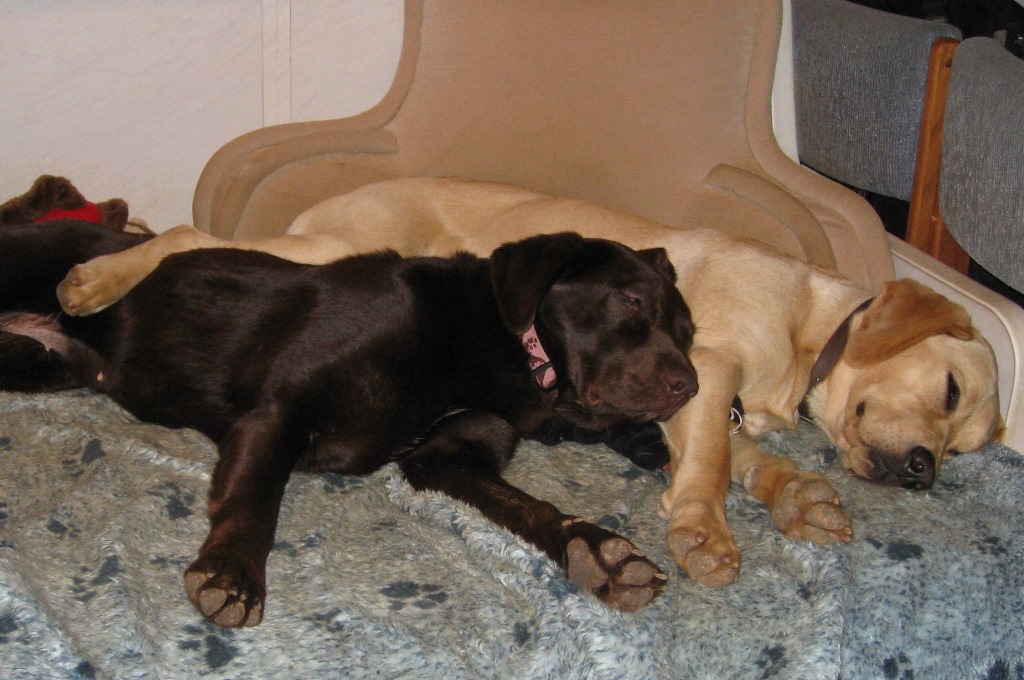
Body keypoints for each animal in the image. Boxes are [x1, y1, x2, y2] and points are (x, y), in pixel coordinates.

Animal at [0, 219, 696, 626]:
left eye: (689, 332)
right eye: (631, 300)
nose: (689, 387)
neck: (496, 349)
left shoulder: (446, 456)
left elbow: (527, 507)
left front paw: (597, 552)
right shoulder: (282, 410)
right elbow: (256, 500)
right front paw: (232, 572)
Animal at [54, 178, 999, 585]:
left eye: (970, 447)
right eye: (952, 391)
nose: (928, 471)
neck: (809, 334)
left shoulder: (707, 396)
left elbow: (748, 459)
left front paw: (801, 496)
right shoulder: (712, 370)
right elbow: (710, 466)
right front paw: (704, 531)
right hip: (321, 249)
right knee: (180, 232)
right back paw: (92, 280)